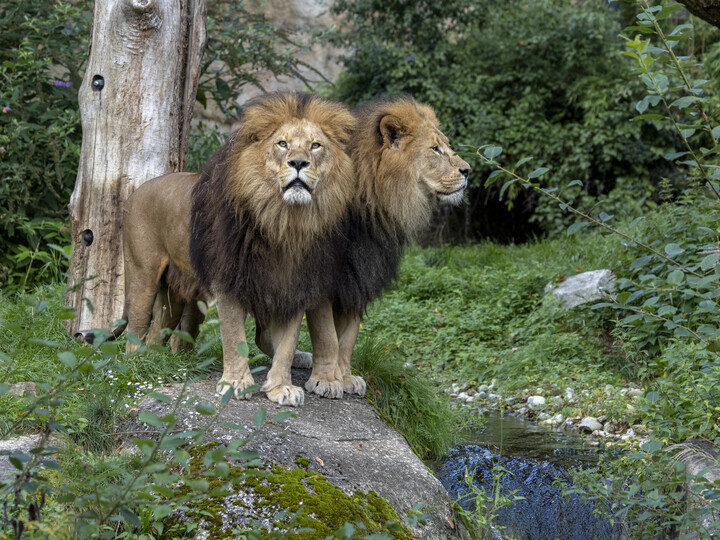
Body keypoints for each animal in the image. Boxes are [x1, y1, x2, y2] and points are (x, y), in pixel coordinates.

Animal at [100, 92, 356, 407]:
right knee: (134, 334)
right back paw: (134, 371)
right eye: (282, 144)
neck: (284, 222)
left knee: (158, 332)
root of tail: (135, 191)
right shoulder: (229, 283)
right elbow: (235, 338)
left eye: (315, 145)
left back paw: (160, 365)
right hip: (141, 278)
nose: (298, 162)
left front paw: (281, 388)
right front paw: (235, 384)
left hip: (175, 293)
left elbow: (286, 345)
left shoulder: (292, 287)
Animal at [256, 96, 470, 397]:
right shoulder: (325, 277)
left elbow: (347, 338)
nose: (468, 171)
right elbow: (328, 337)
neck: (372, 206)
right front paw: (326, 381)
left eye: (447, 146)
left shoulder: (362, 273)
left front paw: (345, 378)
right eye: (435, 149)